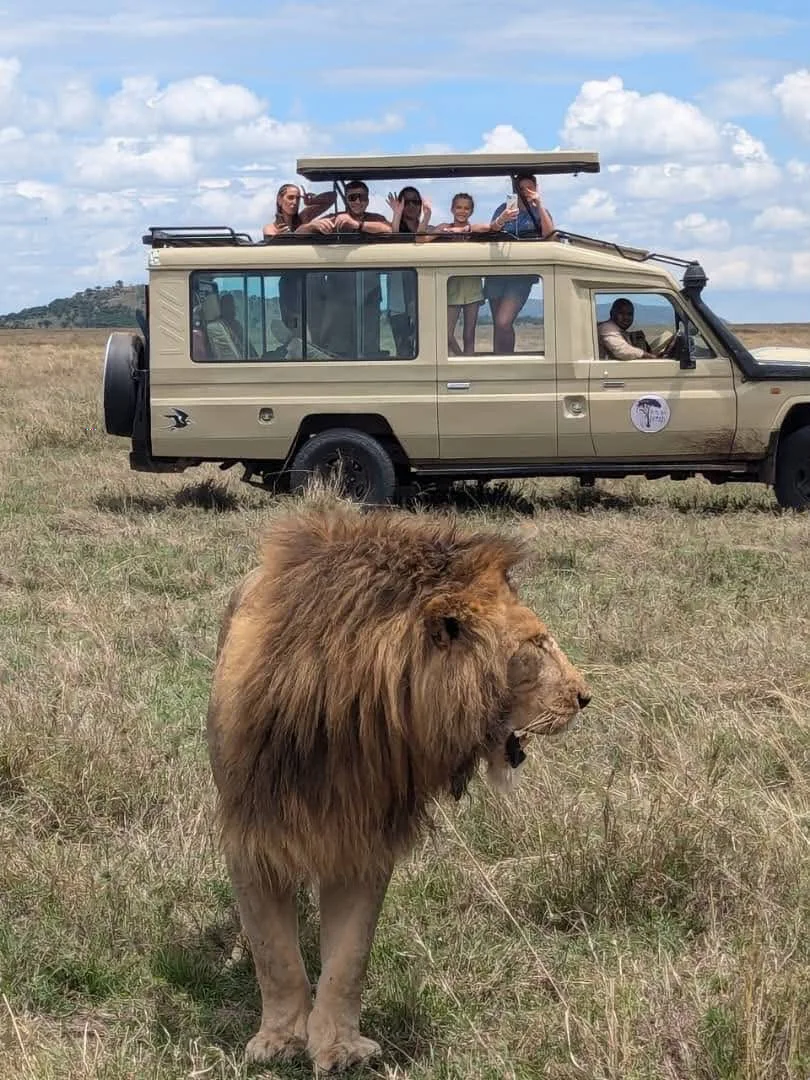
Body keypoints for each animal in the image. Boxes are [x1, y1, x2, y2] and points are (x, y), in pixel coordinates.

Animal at [206, 500, 590, 1072]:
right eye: (534, 646)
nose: (586, 696)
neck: (346, 722)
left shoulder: (364, 839)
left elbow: (349, 958)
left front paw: (339, 1045)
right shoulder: (252, 834)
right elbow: (274, 953)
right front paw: (278, 1039)